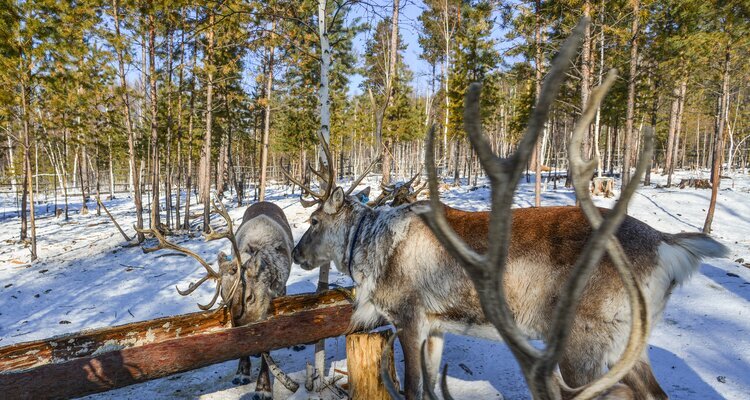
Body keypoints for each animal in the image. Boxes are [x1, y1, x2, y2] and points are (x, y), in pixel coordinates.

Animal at [289, 21, 728, 400]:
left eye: (313, 220)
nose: (296, 253)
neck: (369, 249)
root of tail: (668, 244)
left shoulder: (409, 317)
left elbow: (413, 388)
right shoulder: (436, 325)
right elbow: (431, 386)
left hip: (584, 344)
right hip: (629, 341)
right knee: (656, 392)